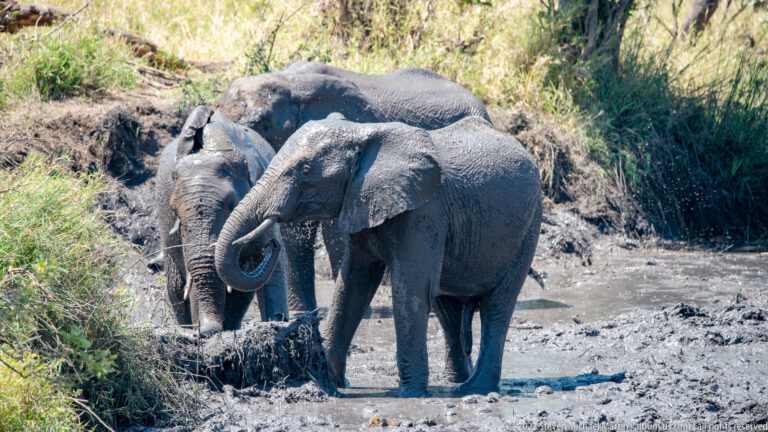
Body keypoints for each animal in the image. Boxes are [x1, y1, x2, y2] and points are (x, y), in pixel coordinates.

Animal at [214, 115, 542, 397]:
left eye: (306, 171)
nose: (272, 242)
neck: (363, 133)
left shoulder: (424, 212)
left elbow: (409, 290)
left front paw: (410, 395)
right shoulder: (360, 202)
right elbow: (353, 286)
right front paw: (331, 381)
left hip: (529, 227)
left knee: (497, 307)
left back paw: (473, 389)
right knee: (447, 307)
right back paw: (456, 381)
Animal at [216, 61, 492, 313]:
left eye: (262, 123)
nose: (269, 246)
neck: (290, 81)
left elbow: (335, 230)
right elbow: (293, 233)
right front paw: (302, 313)